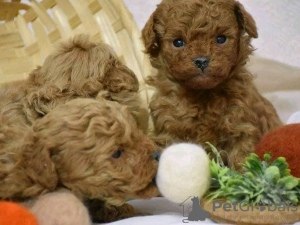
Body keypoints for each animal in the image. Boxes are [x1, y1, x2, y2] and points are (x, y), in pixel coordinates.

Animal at [142, 0, 282, 169]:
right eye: (178, 42)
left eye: (221, 39)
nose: (201, 60)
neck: (203, 93)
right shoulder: (170, 128)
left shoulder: (241, 126)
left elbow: (242, 158)